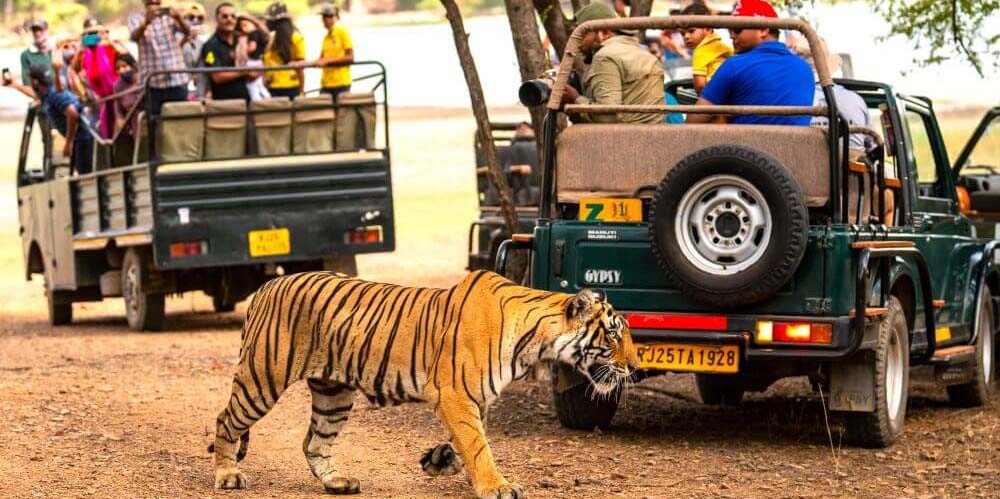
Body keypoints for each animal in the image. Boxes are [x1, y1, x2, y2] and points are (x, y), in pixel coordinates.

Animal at [212, 269, 639, 499]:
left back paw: (337, 482)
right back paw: (227, 475)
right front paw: (496, 485)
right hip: (262, 378)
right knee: (226, 421)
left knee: (313, 442)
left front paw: (439, 461)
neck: (535, 341)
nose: (635, 367)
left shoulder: (475, 399)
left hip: (334, 395)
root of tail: (266, 287)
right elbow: (478, 444)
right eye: (614, 334)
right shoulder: (455, 395)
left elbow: (470, 441)